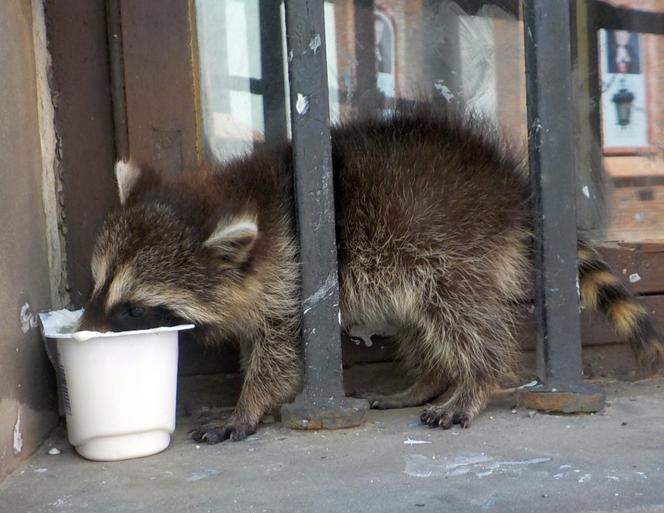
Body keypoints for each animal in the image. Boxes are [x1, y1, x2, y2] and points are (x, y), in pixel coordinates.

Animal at [79, 108, 664, 440]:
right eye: (98, 283)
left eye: (134, 306)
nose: (84, 329)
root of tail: (510, 186)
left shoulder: (292, 279)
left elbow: (281, 358)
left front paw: (248, 404)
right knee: (418, 322)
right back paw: (429, 379)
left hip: (449, 245)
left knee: (463, 319)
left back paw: (473, 380)